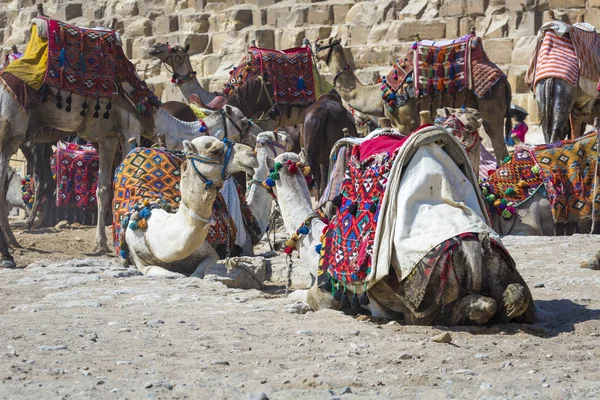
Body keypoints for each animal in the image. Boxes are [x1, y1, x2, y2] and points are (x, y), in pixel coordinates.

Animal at [268, 126, 536, 326]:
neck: (314, 240)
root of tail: (472, 250)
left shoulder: (324, 296)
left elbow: (299, 296)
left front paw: (294, 305)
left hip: (424, 301)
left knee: (464, 308)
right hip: (502, 266)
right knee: (516, 294)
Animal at [314, 36, 510, 164]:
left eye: (321, 44)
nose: (313, 45)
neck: (378, 95)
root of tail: (504, 79)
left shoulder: (406, 120)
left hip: (490, 100)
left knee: (496, 139)